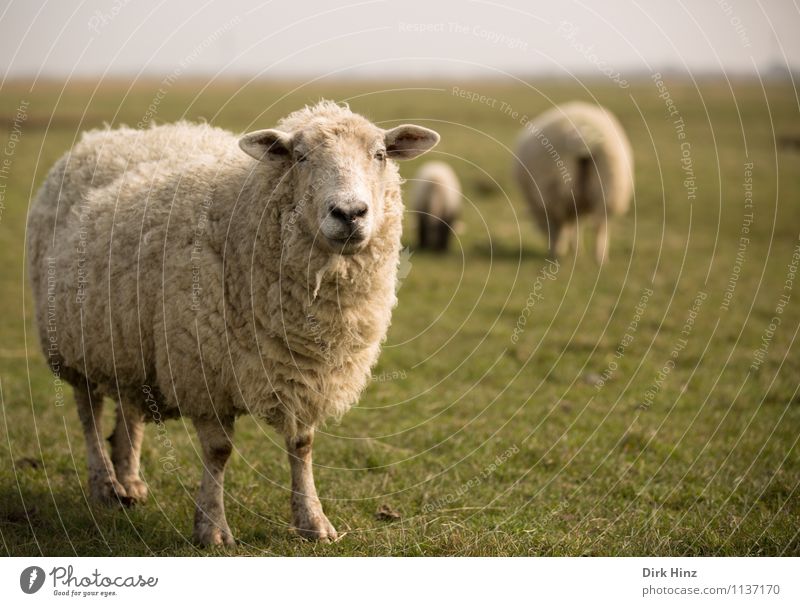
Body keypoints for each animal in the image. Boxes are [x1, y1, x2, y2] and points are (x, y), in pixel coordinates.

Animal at [26, 101, 438, 548]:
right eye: (300, 156)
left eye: (379, 155)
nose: (349, 213)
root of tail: (104, 134)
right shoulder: (204, 367)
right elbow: (219, 451)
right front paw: (213, 529)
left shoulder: (308, 371)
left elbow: (302, 444)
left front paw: (313, 521)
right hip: (71, 340)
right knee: (88, 413)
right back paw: (104, 484)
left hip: (127, 339)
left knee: (129, 405)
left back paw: (130, 480)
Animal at [516, 101, 636, 264]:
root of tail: (583, 136)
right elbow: (576, 225)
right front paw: (576, 251)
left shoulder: (549, 207)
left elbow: (559, 228)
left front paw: (559, 250)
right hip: (609, 183)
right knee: (601, 224)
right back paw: (600, 258)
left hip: (555, 187)